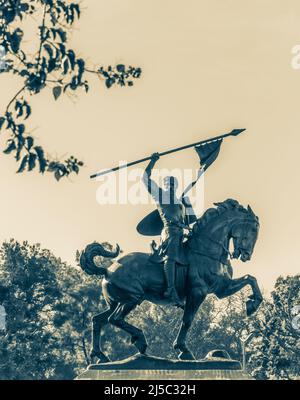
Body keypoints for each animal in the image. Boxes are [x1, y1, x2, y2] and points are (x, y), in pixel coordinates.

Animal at [79, 199, 262, 362]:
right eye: (253, 229)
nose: (246, 255)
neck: (206, 249)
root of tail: (107, 270)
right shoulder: (198, 292)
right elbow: (187, 320)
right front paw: (183, 350)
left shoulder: (221, 288)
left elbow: (251, 279)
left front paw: (252, 304)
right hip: (131, 298)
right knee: (114, 319)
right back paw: (140, 340)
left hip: (118, 302)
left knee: (98, 320)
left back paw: (101, 356)